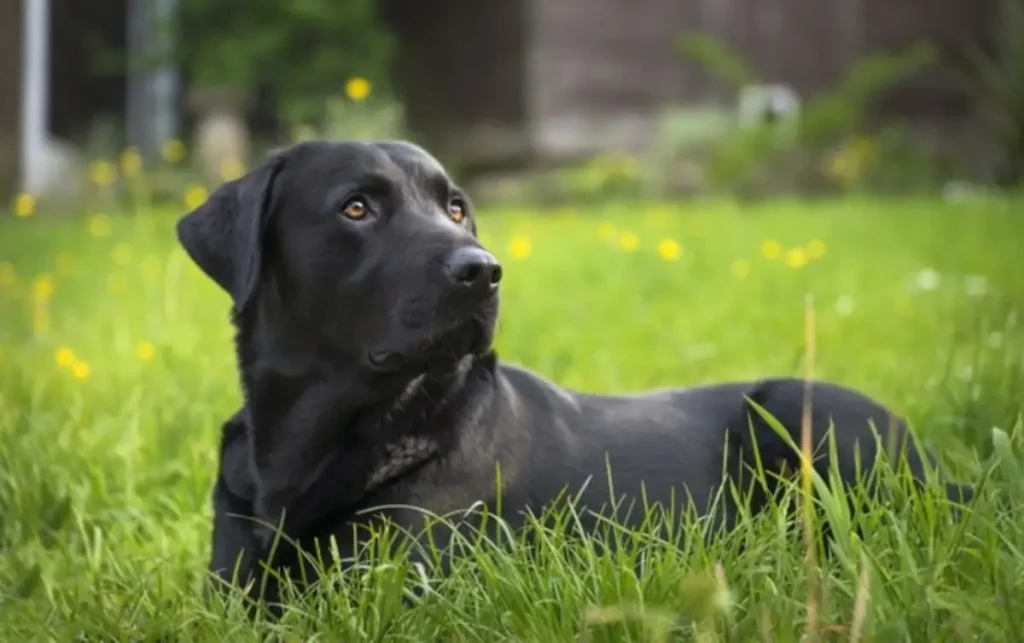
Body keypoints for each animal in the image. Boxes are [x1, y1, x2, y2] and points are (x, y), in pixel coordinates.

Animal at [178, 138, 974, 610]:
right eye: (355, 207)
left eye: (456, 208)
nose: (484, 271)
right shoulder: (227, 590)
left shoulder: (395, 586)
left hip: (803, 411)